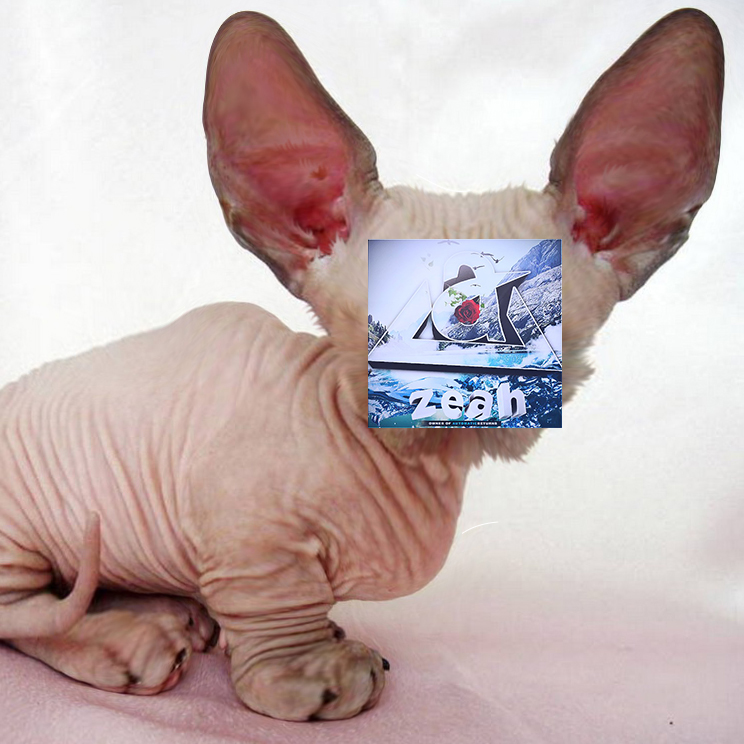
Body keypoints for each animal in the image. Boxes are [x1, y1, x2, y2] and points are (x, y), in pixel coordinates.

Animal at [0, 8, 723, 721]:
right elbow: (274, 605)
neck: (412, 462)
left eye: (524, 311)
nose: (462, 373)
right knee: (27, 613)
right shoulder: (251, 537)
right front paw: (304, 674)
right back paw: (127, 640)